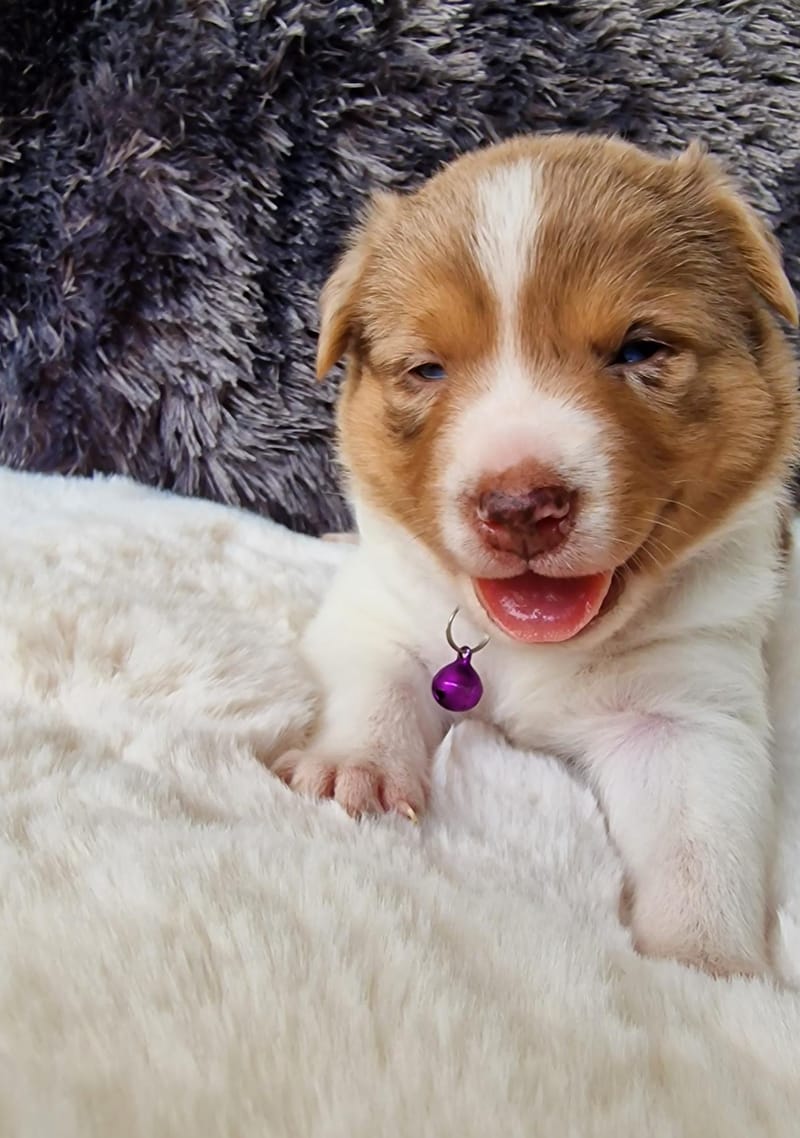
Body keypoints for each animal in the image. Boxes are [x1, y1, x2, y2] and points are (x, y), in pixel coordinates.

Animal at [276, 135, 800, 978]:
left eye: (639, 350)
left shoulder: (690, 700)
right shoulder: (378, 610)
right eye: (427, 369)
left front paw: (704, 965)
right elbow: (374, 683)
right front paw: (353, 771)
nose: (520, 506)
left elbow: (699, 846)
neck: (528, 646)